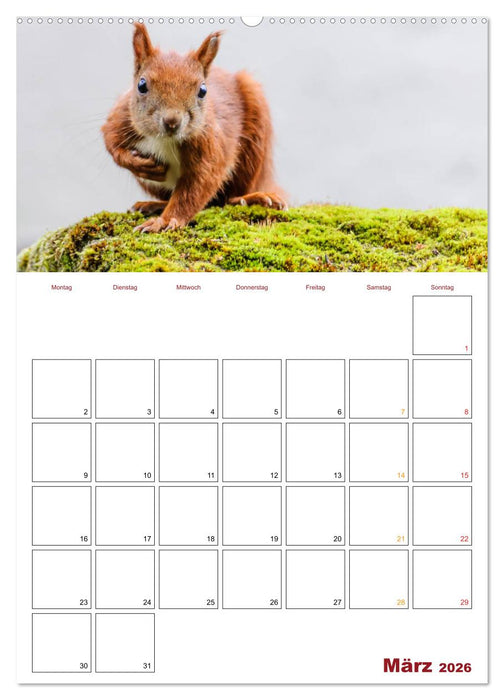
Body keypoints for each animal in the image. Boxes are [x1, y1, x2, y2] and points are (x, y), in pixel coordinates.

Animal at [102, 23, 287, 232]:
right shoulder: (121, 117)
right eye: (141, 85)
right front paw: (138, 164)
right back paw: (153, 204)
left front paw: (164, 221)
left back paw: (252, 198)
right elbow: (111, 142)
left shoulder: (209, 144)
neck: (164, 139)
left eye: (203, 90)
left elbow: (198, 185)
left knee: (225, 198)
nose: (172, 121)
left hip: (255, 146)